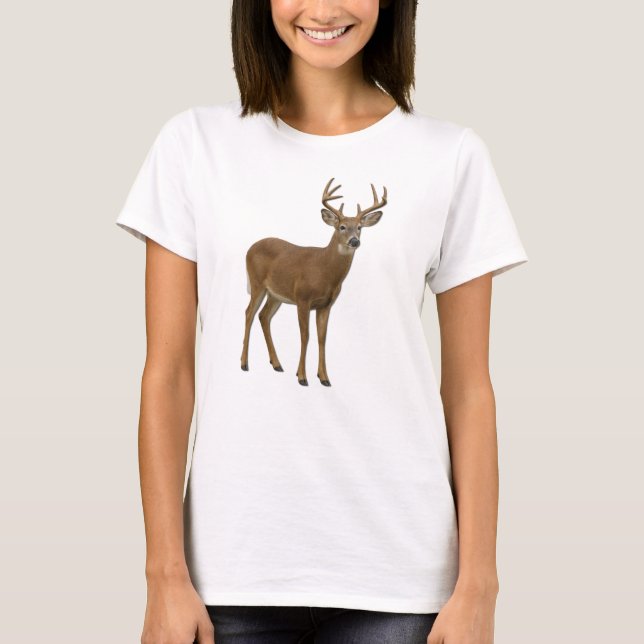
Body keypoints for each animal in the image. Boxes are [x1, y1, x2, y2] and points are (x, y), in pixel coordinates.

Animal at [241, 177, 388, 387]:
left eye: (360, 228)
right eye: (342, 227)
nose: (354, 241)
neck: (325, 272)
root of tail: (250, 248)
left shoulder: (326, 304)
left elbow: (322, 338)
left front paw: (324, 377)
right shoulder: (303, 298)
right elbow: (305, 336)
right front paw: (302, 377)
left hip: (275, 294)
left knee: (263, 316)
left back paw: (277, 364)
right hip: (257, 283)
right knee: (249, 313)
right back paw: (244, 363)